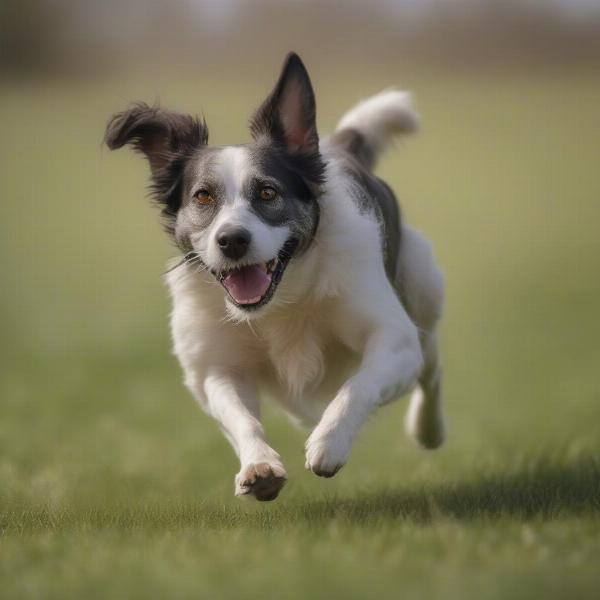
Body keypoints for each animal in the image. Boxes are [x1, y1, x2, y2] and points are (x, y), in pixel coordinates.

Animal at [104, 52, 446, 502]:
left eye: (267, 192)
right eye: (203, 197)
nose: (232, 240)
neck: (282, 300)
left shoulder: (394, 339)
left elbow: (359, 385)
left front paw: (328, 443)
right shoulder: (213, 369)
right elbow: (240, 417)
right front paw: (259, 467)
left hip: (424, 287)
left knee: (431, 366)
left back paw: (428, 430)